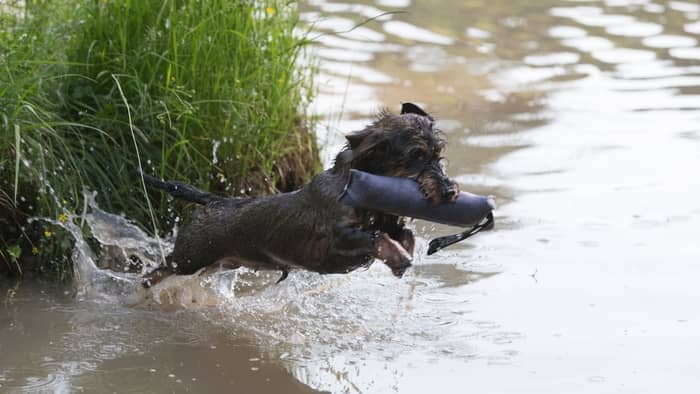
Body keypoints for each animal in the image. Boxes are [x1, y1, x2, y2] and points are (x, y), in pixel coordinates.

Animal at [141, 101, 460, 288]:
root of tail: (215, 200)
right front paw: (399, 257)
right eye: (416, 155)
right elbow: (377, 237)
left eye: (438, 155)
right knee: (154, 274)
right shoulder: (339, 237)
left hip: (214, 264)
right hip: (188, 259)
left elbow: (403, 232)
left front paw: (403, 252)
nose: (450, 192)